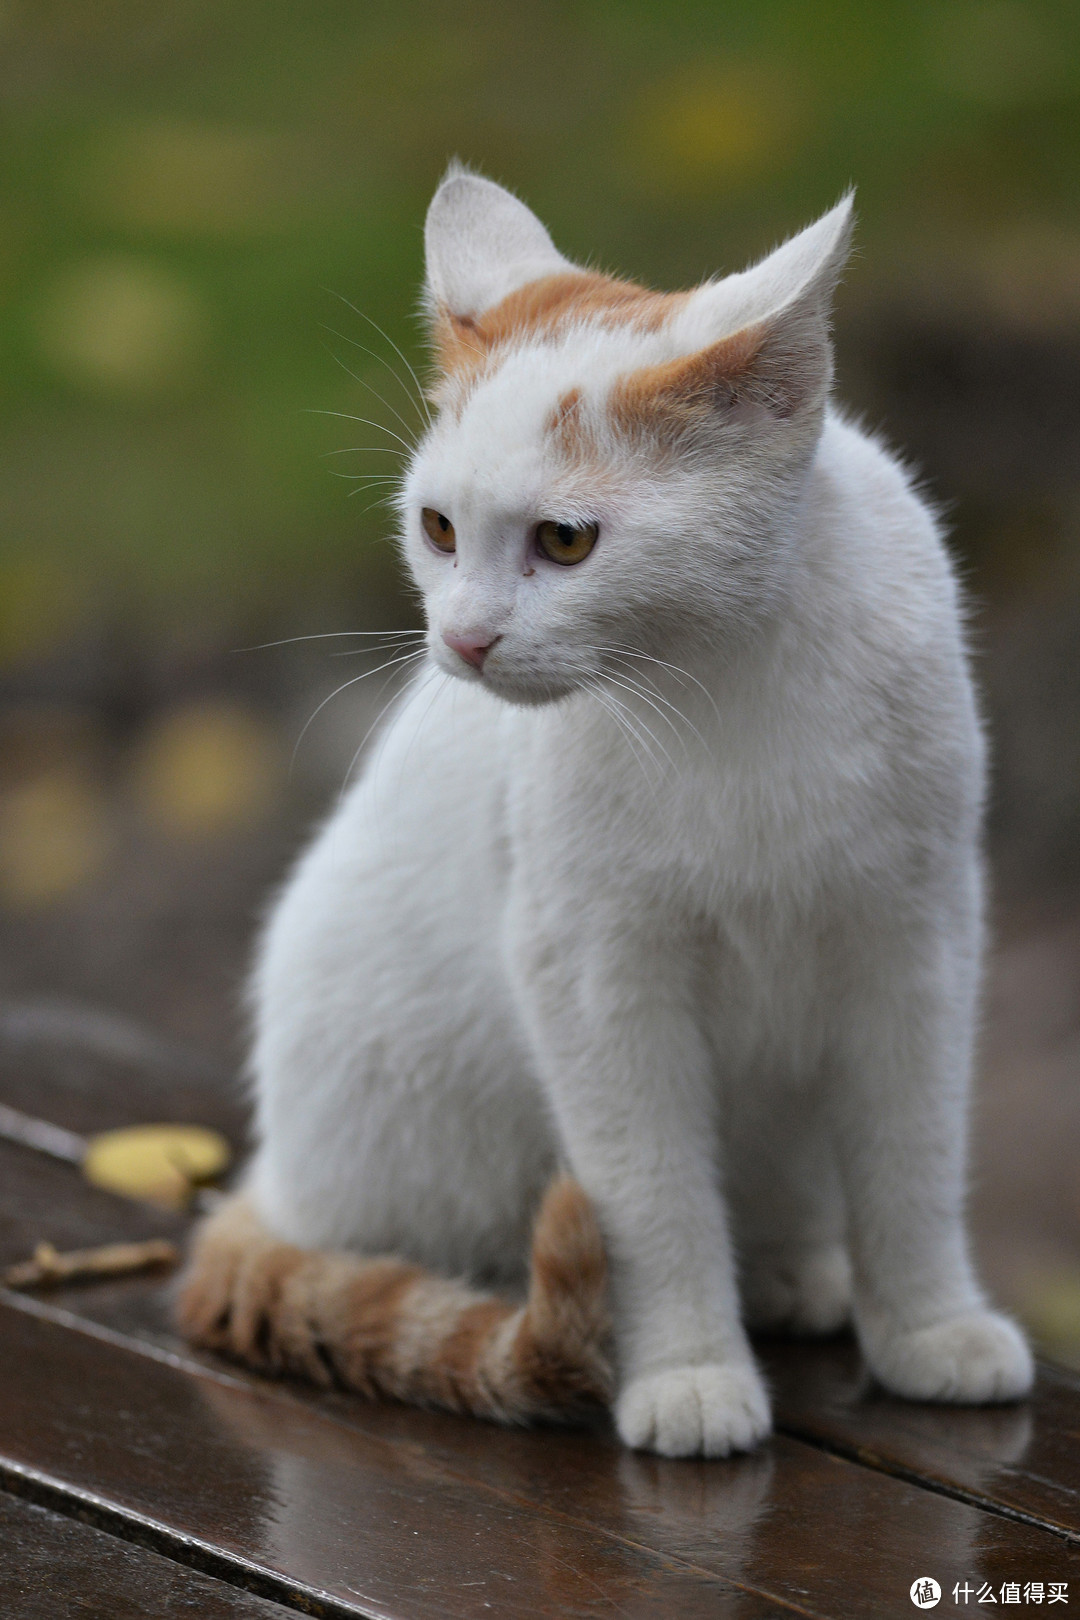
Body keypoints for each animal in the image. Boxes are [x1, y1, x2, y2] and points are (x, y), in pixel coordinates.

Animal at [179, 164, 1036, 1458]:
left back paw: (793, 1268)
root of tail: (274, 1178)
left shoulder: (918, 937)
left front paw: (931, 1326)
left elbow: (913, 1157)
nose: (463, 640)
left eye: (566, 541)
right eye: (438, 528)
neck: (722, 679)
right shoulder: (594, 972)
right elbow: (651, 1199)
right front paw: (686, 1370)